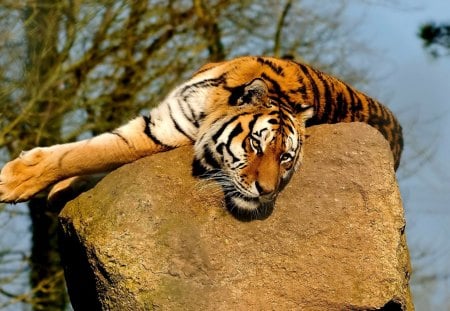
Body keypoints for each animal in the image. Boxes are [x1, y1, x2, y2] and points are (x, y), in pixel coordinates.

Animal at [0, 56, 402, 219]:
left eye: (285, 158)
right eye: (255, 144)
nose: (267, 191)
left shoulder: (156, 134)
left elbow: (91, 153)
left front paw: (14, 182)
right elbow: (87, 153)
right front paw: (47, 185)